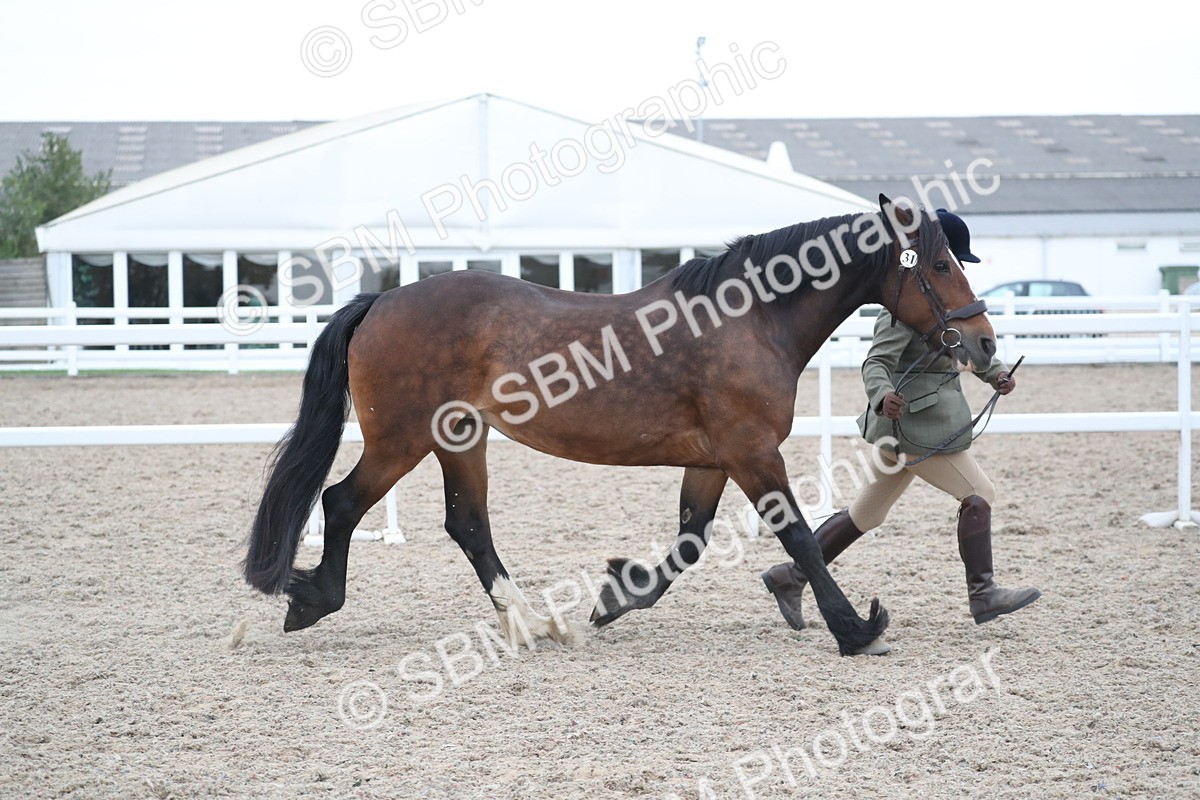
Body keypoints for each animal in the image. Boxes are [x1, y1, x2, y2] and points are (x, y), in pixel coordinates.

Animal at [243, 194, 996, 656]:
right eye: (937, 264)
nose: (984, 344)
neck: (752, 319)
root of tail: (380, 301)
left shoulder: (714, 459)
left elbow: (690, 542)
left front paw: (615, 597)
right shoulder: (753, 454)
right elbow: (803, 540)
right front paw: (855, 629)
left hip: (460, 438)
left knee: (467, 524)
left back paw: (532, 623)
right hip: (404, 439)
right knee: (343, 502)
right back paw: (312, 598)